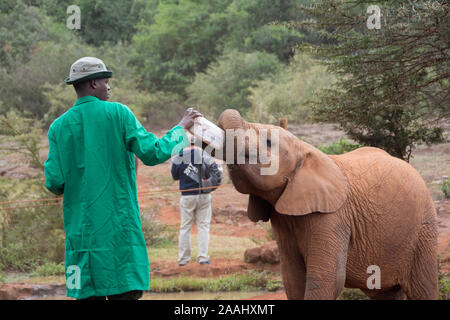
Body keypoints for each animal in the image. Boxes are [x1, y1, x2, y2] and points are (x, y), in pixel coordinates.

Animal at [220, 109, 438, 300]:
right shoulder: (282, 219)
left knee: (423, 289)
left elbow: (327, 280)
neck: (305, 149)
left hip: (423, 231)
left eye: (268, 141)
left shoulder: (333, 217)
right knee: (386, 293)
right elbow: (293, 279)